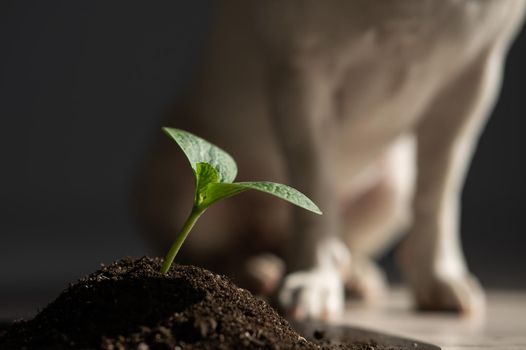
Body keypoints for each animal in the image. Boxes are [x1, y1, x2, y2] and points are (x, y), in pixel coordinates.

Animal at [137, 0, 526, 320]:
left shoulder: (474, 75)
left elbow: (439, 192)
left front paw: (438, 276)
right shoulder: (303, 73)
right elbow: (314, 186)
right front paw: (315, 277)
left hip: (395, 186)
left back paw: (353, 273)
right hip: (183, 183)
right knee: (210, 242)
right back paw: (255, 269)